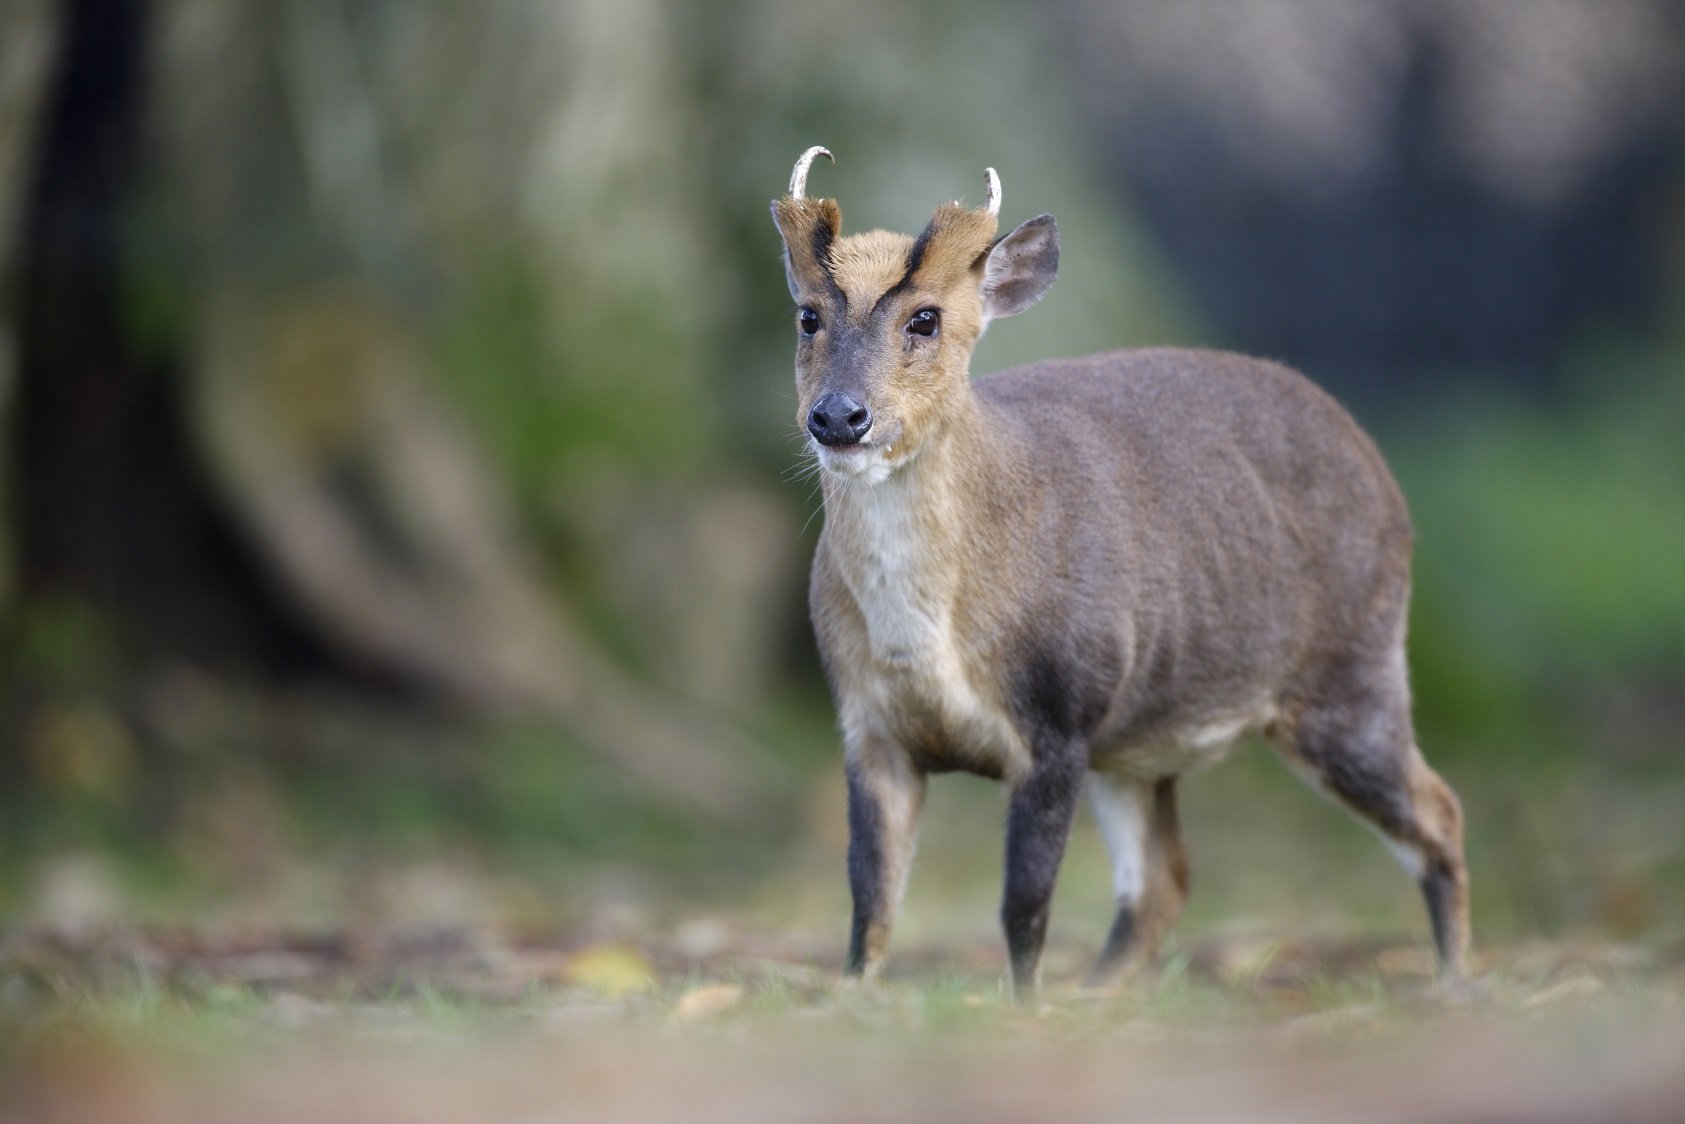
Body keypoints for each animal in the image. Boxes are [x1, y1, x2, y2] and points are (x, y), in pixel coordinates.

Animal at [771, 144, 1469, 997]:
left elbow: (1023, 905)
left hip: (1350, 675)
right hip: (1137, 745)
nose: (838, 416)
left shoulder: (1060, 716)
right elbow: (870, 900)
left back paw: (1455, 982)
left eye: (924, 318)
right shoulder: (869, 727)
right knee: (1164, 877)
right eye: (807, 315)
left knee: (1439, 810)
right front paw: (852, 1001)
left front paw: (1023, 1009)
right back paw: (1100, 995)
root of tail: (1380, 473)